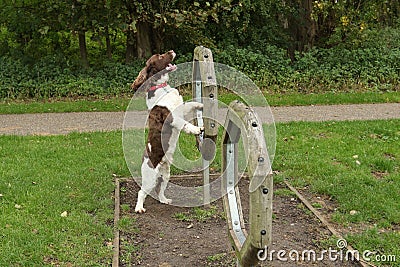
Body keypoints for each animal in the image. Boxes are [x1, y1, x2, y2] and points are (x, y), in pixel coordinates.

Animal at [131, 50, 203, 214]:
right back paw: (139, 208)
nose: (171, 51)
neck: (162, 87)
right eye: (159, 56)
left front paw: (200, 104)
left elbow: (190, 104)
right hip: (150, 177)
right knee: (141, 192)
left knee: (160, 190)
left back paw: (165, 200)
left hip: (165, 174)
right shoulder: (172, 117)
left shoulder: (181, 108)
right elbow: (185, 124)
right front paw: (196, 129)